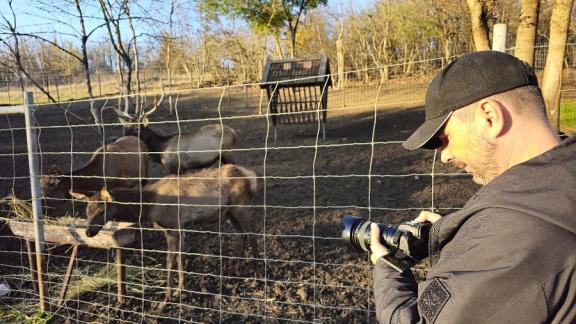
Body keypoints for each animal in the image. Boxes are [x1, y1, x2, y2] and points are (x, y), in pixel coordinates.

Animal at [69, 163, 256, 306]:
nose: (88, 232)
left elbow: (170, 260)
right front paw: (180, 289)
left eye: (101, 211)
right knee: (241, 234)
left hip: (241, 206)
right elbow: (180, 256)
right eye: (87, 211)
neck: (149, 207)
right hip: (230, 212)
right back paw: (236, 270)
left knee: (254, 235)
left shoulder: (172, 226)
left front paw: (167, 297)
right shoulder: (178, 227)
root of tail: (249, 175)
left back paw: (256, 277)